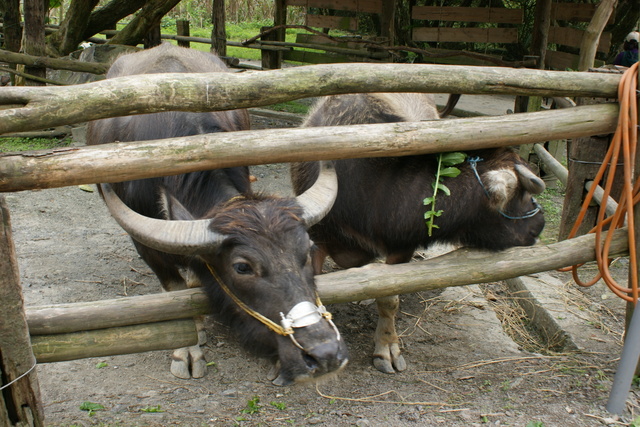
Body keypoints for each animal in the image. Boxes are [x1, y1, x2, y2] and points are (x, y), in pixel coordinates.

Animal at [87, 44, 348, 388]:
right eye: (242, 267)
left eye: (307, 252)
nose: (325, 353)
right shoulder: (147, 248)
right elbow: (175, 295)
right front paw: (187, 350)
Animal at [290, 93, 544, 374]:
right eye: (524, 194)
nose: (539, 225)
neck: (372, 188)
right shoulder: (317, 238)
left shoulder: (401, 248)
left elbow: (388, 298)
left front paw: (386, 348)